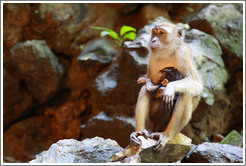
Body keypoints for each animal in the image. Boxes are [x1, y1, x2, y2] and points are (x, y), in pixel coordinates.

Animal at [130, 22, 203, 152]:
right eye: (154, 32)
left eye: (161, 33)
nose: (153, 40)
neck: (168, 52)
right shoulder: (151, 57)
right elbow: (149, 84)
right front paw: (146, 80)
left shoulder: (183, 54)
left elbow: (196, 84)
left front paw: (170, 87)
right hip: (150, 124)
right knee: (144, 90)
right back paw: (140, 132)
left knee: (186, 94)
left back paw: (166, 135)